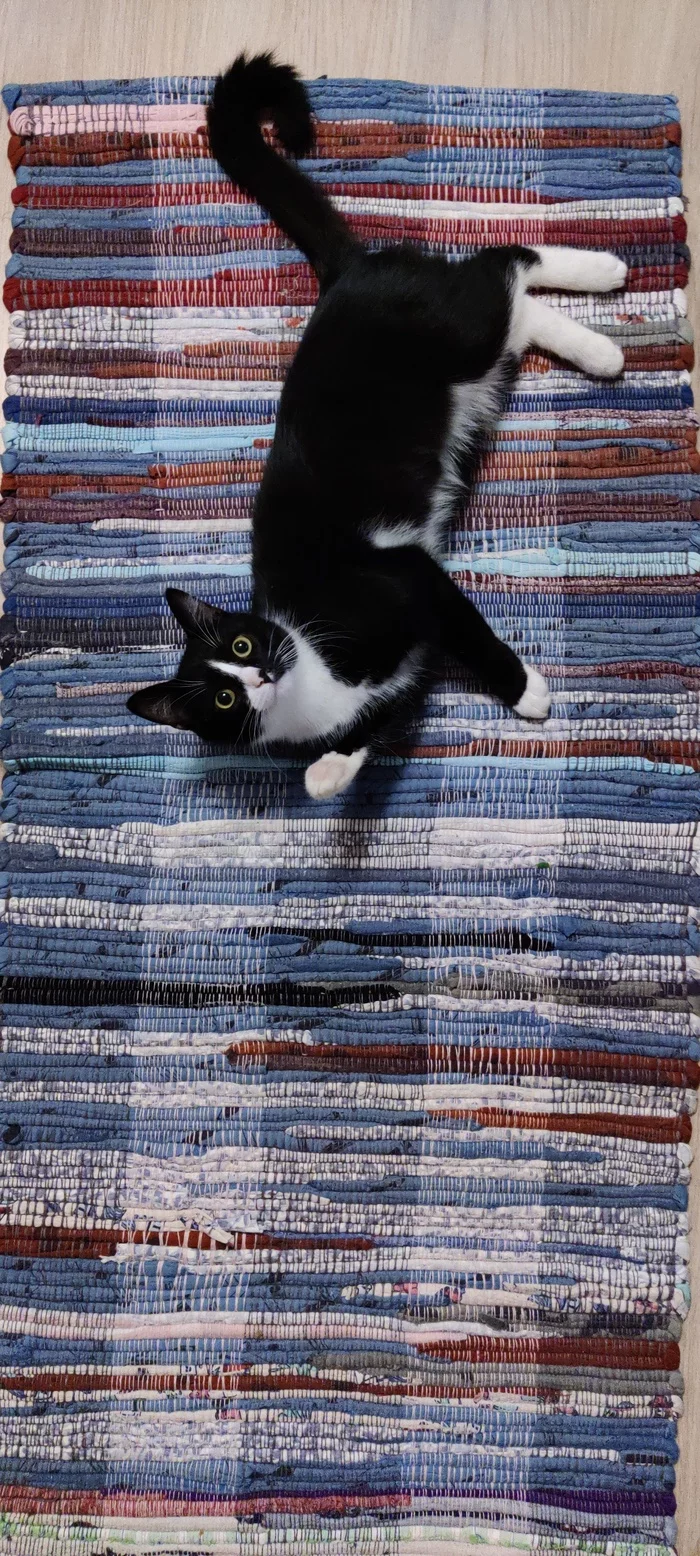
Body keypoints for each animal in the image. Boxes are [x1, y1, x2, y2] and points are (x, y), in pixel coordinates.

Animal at [128, 53, 625, 796]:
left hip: (457, 330)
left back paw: (603, 273)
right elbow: (372, 730)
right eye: (221, 697)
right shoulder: (396, 685)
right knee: (519, 312)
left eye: (242, 643)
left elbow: (470, 633)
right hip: (474, 361)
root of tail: (346, 273)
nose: (260, 674)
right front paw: (327, 774)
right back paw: (597, 347)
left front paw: (527, 692)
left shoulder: (410, 577)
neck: (312, 675)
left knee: (503, 264)